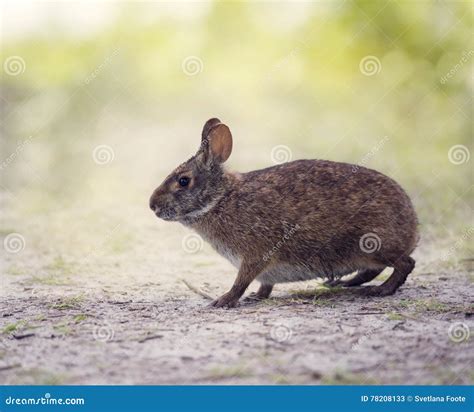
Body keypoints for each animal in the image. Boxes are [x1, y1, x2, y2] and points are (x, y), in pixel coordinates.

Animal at [149, 117, 418, 308]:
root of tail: (413, 226)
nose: (152, 205)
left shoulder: (255, 254)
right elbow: (264, 284)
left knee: (405, 263)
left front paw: (223, 301)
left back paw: (379, 290)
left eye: (183, 181)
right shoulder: (263, 268)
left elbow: (242, 281)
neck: (220, 199)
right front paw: (257, 297)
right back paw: (344, 282)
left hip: (372, 244)